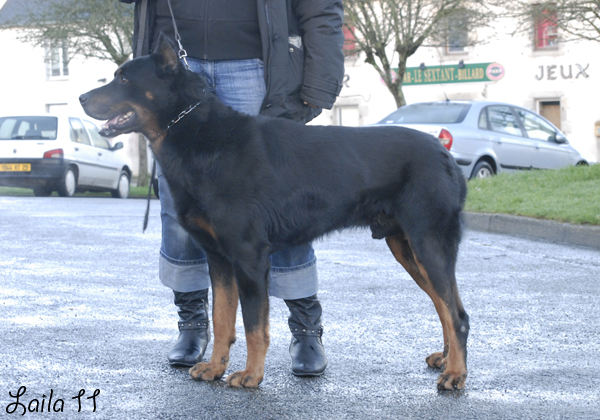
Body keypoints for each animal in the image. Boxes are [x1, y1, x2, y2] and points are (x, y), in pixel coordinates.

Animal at [79, 35, 472, 390]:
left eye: (124, 79)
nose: (82, 98)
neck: (199, 133)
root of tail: (447, 156)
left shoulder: (249, 256)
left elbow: (255, 325)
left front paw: (251, 375)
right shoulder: (219, 258)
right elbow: (222, 318)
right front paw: (215, 367)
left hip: (428, 243)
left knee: (456, 314)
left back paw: (455, 373)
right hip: (406, 247)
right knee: (447, 307)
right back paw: (445, 359)